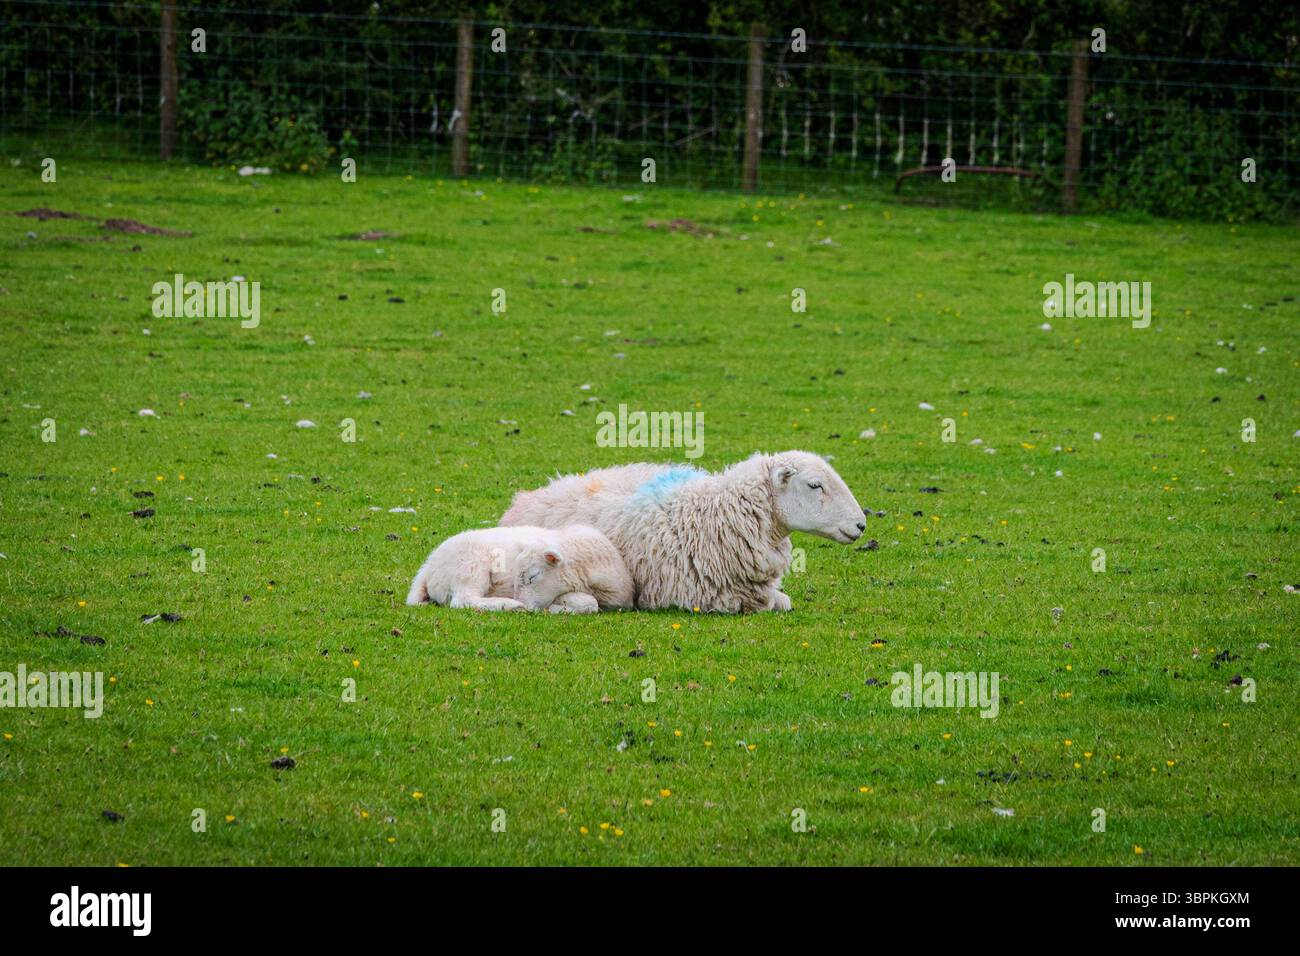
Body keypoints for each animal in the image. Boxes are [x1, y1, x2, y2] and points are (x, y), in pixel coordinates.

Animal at [405, 524, 634, 613]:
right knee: (463, 600)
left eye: (532, 577)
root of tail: (427, 568)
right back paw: (509, 605)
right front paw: (557, 608)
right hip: (469, 566)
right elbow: (589, 603)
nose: (527, 605)